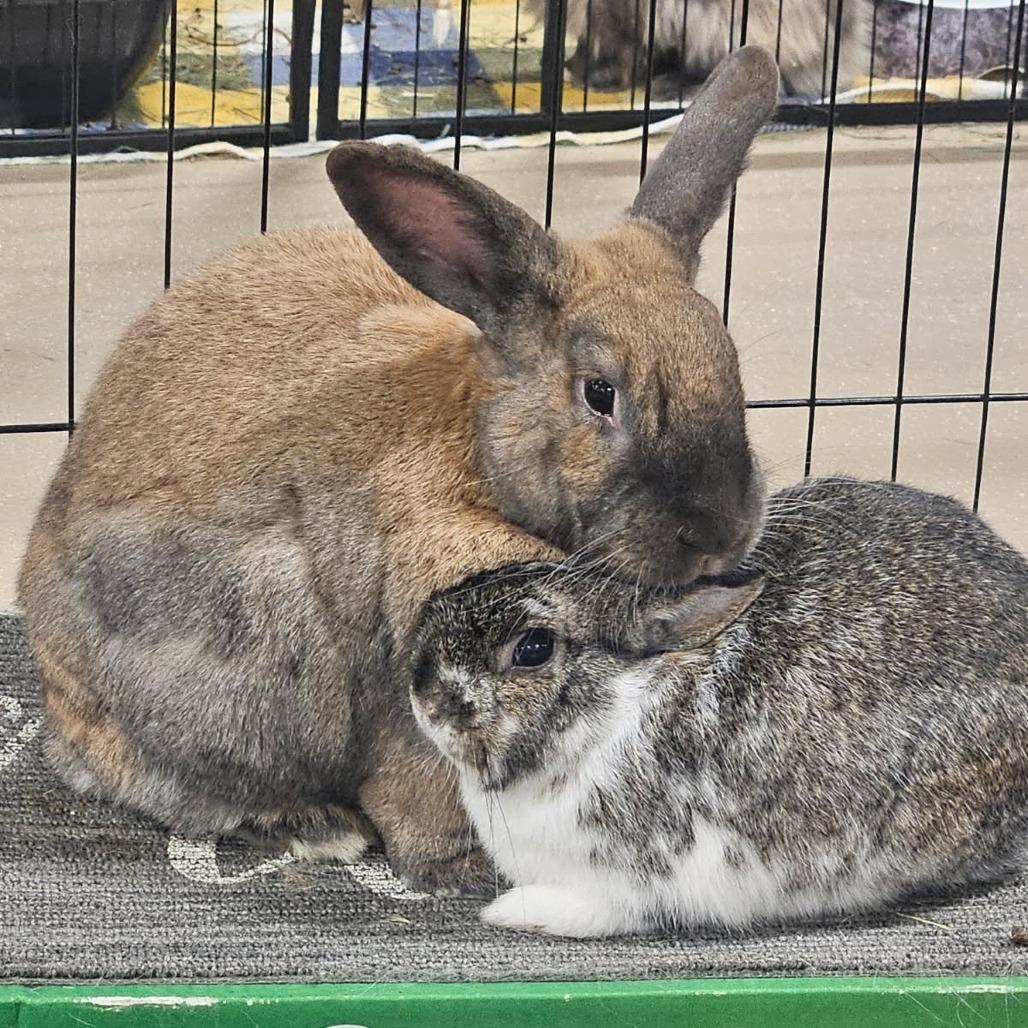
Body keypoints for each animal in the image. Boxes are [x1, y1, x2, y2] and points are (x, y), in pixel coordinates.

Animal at [17, 48, 778, 895]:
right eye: (600, 393)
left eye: (732, 364)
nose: (718, 532)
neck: (478, 456)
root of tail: (56, 694)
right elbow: (426, 777)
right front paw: (460, 868)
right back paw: (314, 827)